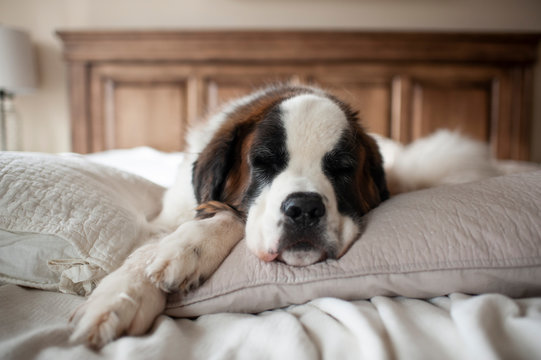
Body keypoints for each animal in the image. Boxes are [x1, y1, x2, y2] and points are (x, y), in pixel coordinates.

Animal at [67, 84, 498, 348]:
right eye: (264, 164)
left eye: (341, 169)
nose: (304, 208)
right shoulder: (166, 217)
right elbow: (154, 247)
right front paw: (123, 297)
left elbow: (231, 217)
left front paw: (187, 249)